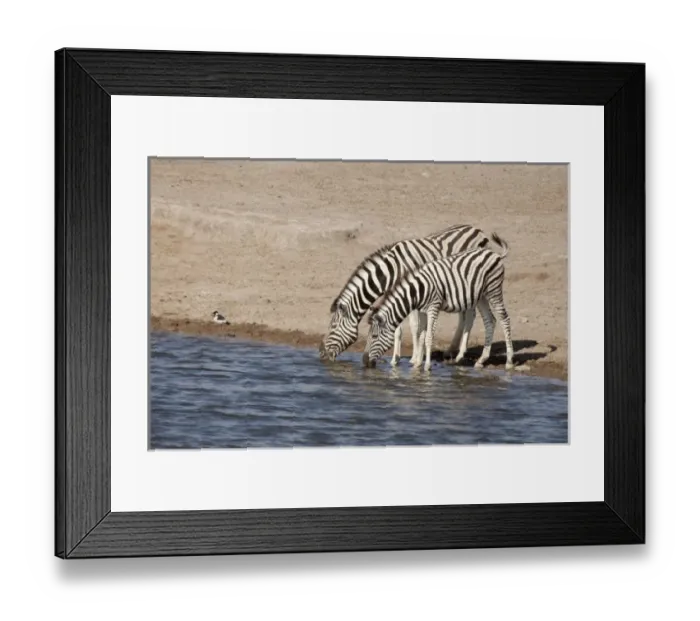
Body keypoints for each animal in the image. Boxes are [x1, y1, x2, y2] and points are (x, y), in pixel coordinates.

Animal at [319, 224, 493, 365]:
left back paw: (460, 354)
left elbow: (415, 327)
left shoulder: (414, 293)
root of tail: (477, 229)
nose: (321, 355)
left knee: (469, 316)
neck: (391, 271)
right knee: (463, 316)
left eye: (333, 327)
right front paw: (395, 359)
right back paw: (451, 350)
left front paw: (414, 358)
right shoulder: (398, 294)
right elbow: (397, 329)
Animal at [362, 234, 514, 372]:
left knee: (504, 319)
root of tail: (495, 254)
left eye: (374, 336)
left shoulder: (433, 307)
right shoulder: (422, 310)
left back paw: (509, 362)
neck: (417, 290)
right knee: (490, 321)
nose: (364, 362)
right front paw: (417, 364)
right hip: (481, 296)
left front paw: (427, 366)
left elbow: (429, 337)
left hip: (493, 290)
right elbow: (421, 335)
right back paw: (481, 360)